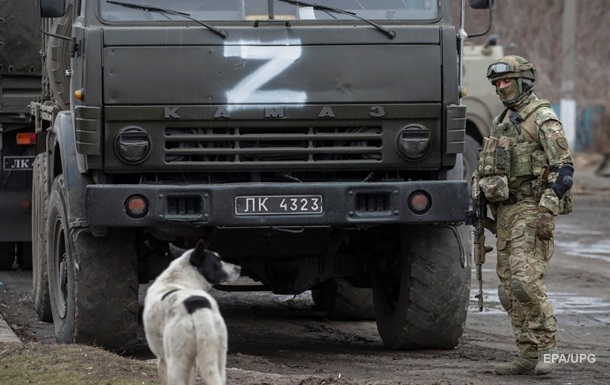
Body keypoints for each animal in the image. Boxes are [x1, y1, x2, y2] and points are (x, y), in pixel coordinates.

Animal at [142, 238, 240, 382]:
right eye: (217, 263)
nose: (240, 268)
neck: (177, 279)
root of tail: (198, 306)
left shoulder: (162, 359)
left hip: (176, 363)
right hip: (219, 359)